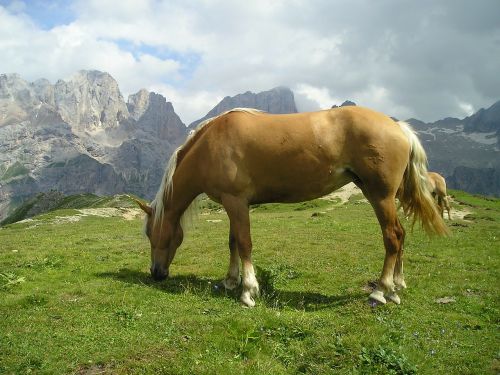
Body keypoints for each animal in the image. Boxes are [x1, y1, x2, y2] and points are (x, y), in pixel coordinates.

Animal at [137, 106, 450, 308]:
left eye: (151, 233)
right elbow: (233, 242)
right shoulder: (233, 203)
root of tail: (399, 127)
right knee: (401, 236)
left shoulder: (236, 201)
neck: (212, 144)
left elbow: (245, 242)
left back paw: (381, 291)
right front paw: (230, 280)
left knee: (393, 236)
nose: (156, 273)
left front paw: (248, 291)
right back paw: (397, 286)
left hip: (380, 195)